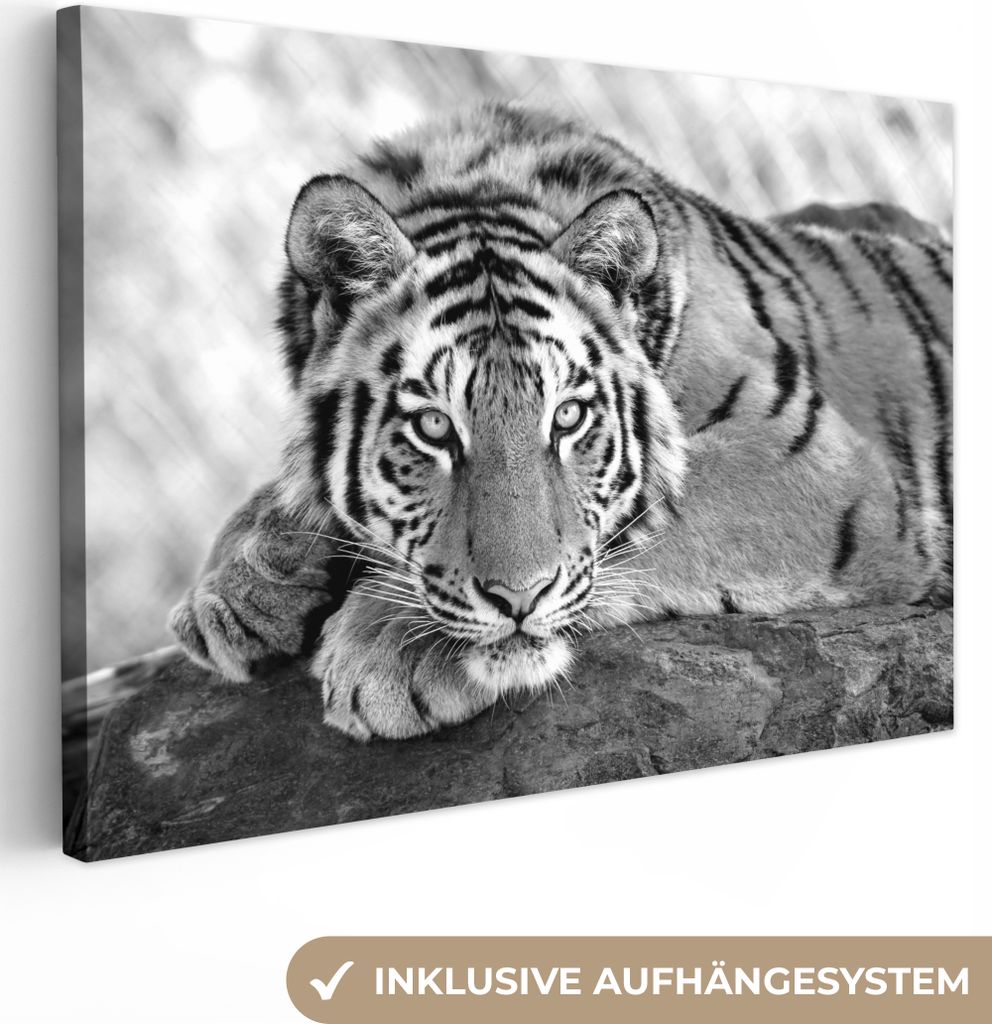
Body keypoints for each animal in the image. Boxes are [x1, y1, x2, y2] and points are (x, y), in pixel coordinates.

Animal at [168, 101, 952, 742]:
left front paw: (389, 645)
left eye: (568, 417)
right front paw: (231, 589)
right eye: (434, 429)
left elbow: (648, 518)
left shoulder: (816, 462)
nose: (519, 600)